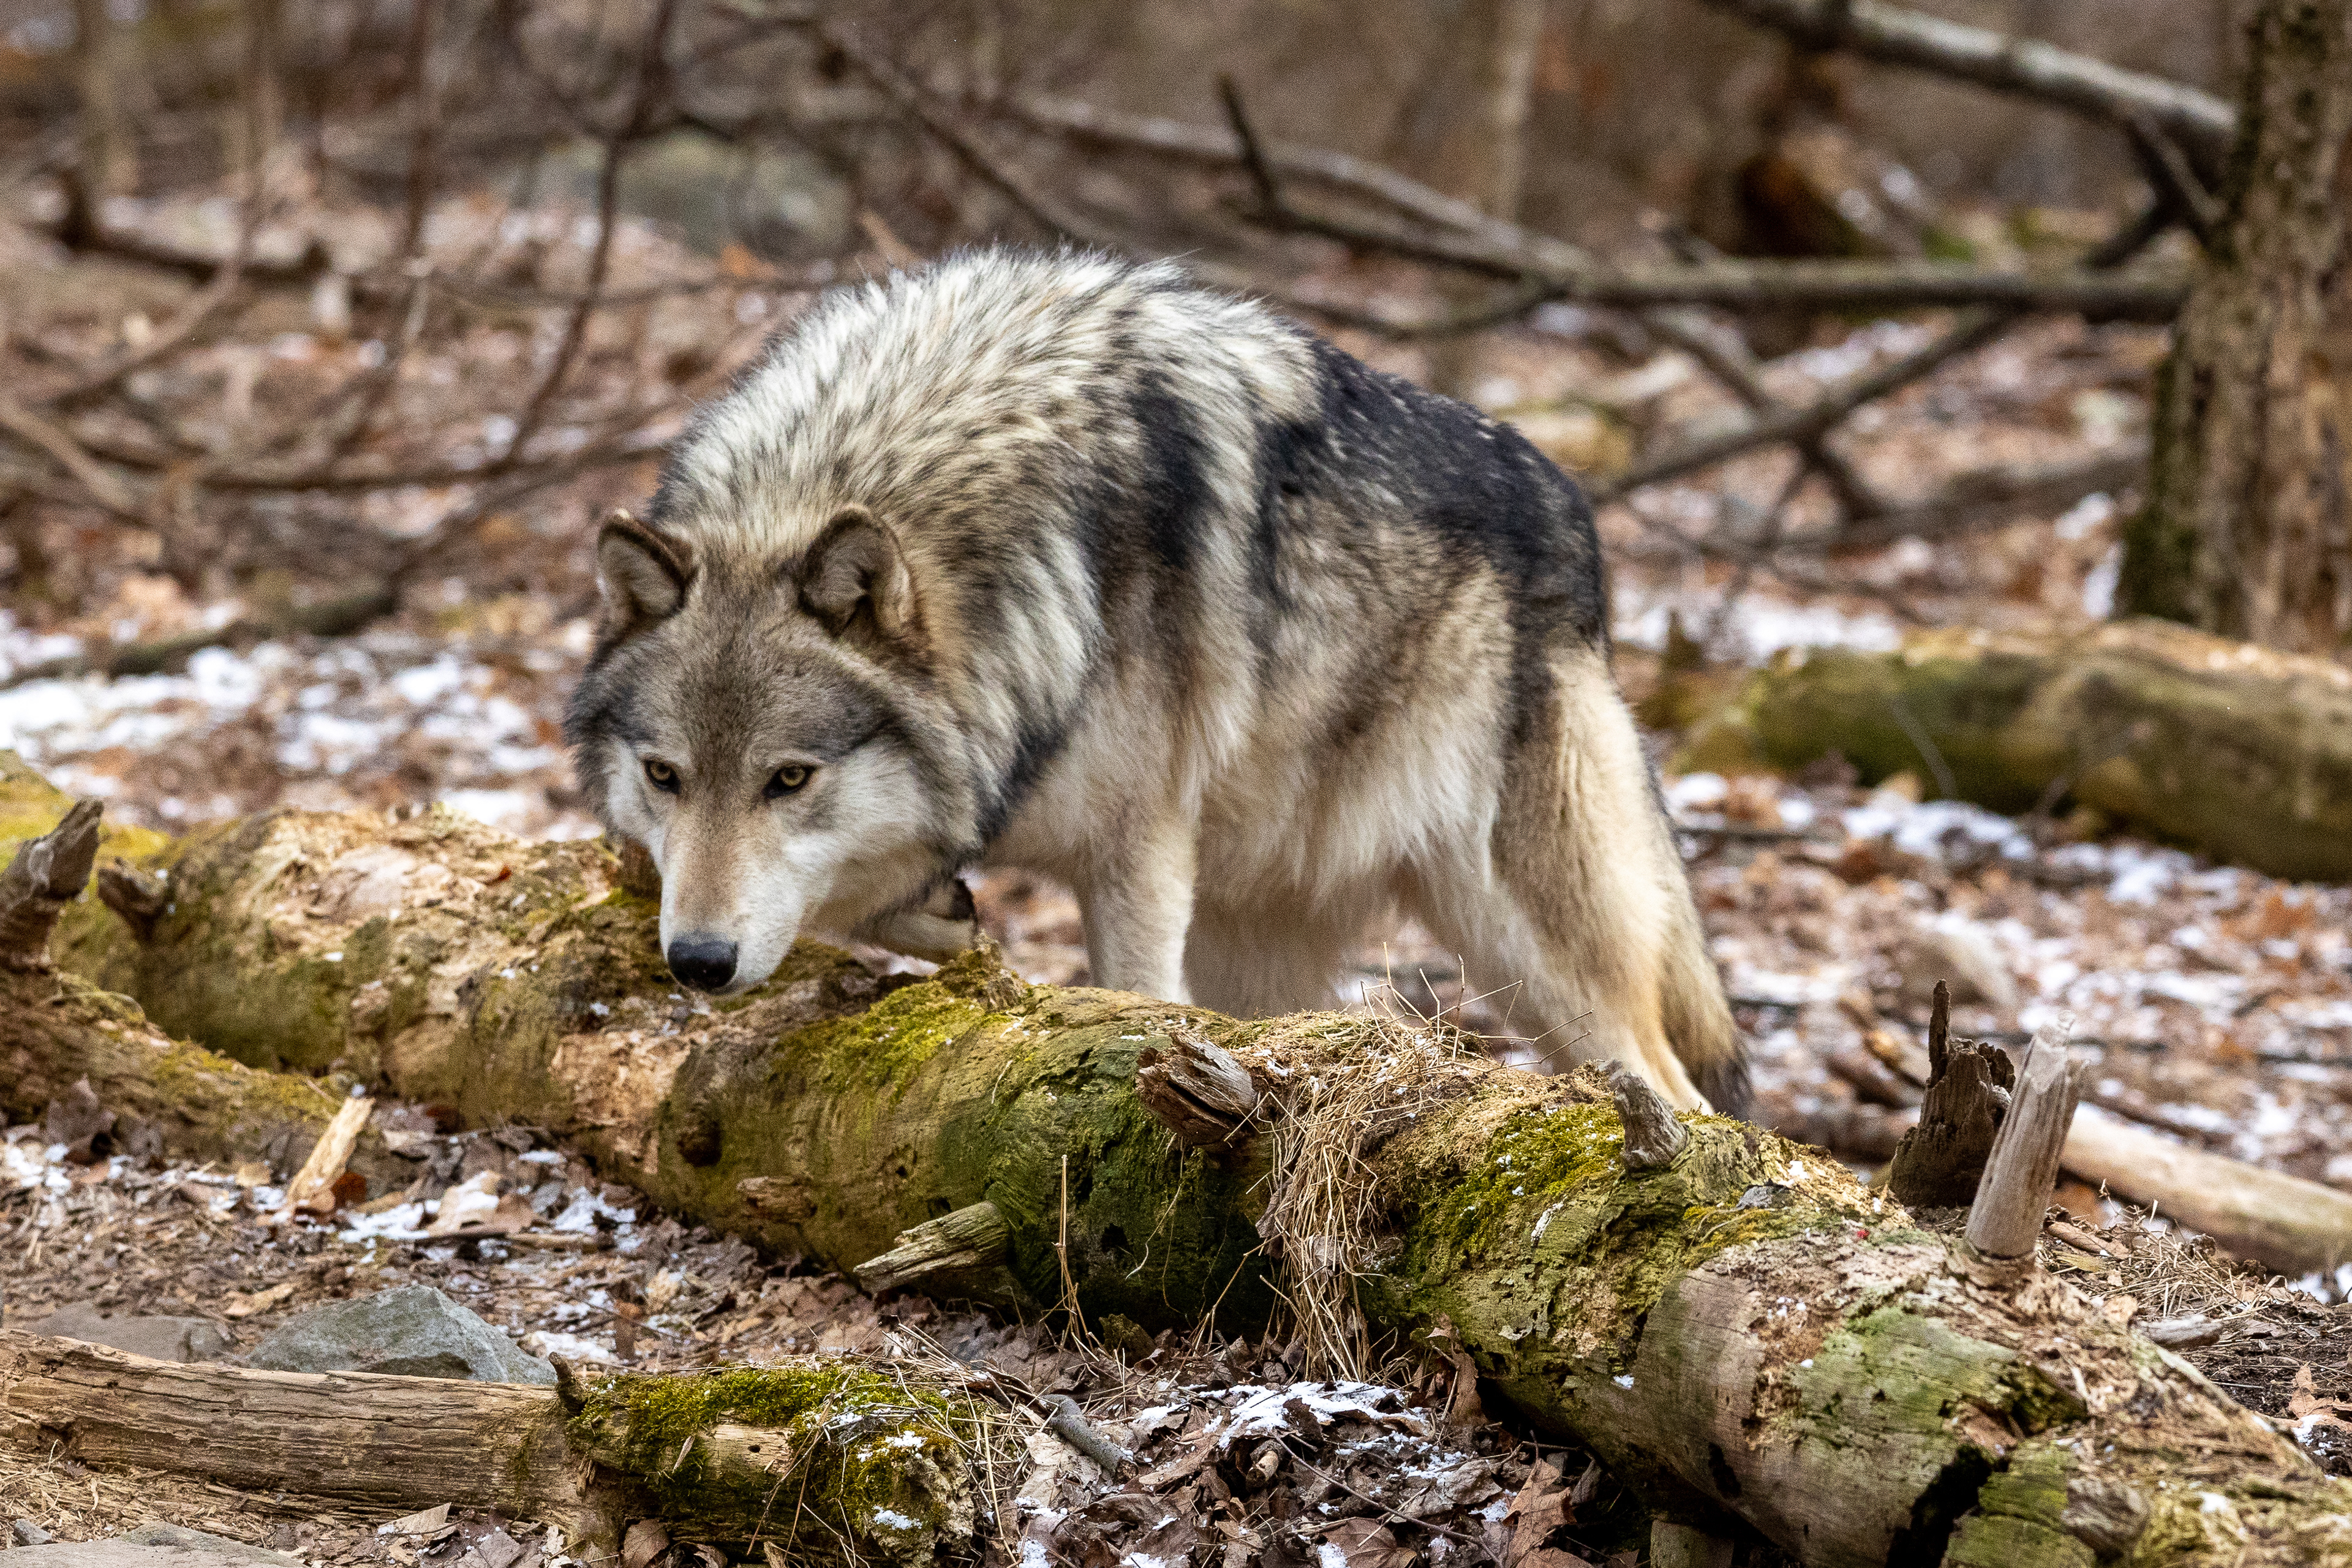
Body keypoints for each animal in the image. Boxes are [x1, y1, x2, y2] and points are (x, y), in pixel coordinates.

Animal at [565, 248, 1745, 1113]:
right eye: (666, 777)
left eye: (789, 780)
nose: (697, 963)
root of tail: (1576, 515)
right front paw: (945, 913)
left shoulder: (1139, 852)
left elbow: (1131, 999)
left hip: (1527, 943)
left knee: (1675, 1085)